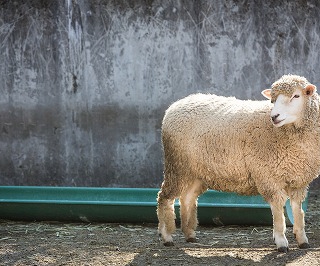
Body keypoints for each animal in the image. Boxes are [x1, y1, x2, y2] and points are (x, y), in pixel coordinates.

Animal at [157, 74, 320, 251]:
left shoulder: (298, 180)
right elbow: (278, 212)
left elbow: (298, 211)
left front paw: (302, 240)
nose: (274, 117)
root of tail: (175, 105)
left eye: (296, 96)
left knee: (187, 198)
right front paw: (281, 241)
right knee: (165, 197)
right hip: (176, 165)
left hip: (196, 171)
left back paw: (190, 234)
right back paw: (166, 236)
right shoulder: (268, 176)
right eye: (273, 100)